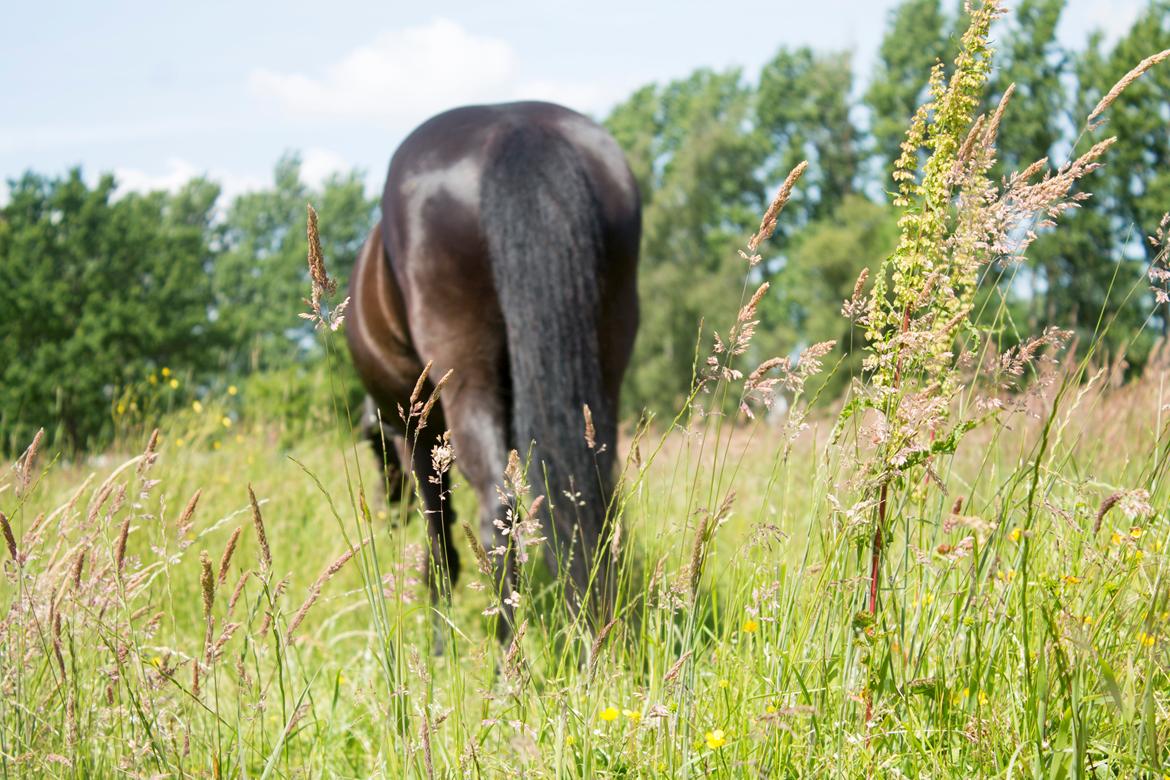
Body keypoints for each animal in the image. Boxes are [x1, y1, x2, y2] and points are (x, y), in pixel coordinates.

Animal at [346, 100, 641, 636]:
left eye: (376, 455)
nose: (388, 511)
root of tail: (515, 127)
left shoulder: (420, 433)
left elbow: (441, 544)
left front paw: (440, 637)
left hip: (464, 377)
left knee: (493, 518)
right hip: (605, 361)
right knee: (593, 498)